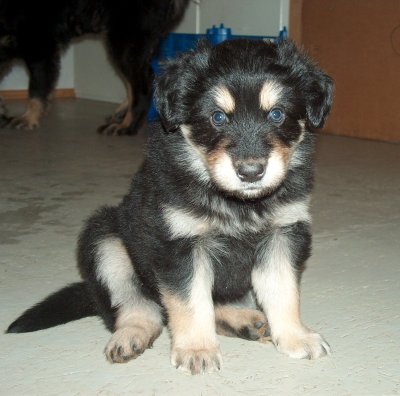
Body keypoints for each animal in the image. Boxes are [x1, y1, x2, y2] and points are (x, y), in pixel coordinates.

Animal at [0, 0, 189, 135]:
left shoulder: (39, 45)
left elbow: (37, 88)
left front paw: (28, 118)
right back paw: (120, 115)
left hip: (124, 39)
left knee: (143, 85)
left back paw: (127, 126)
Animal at [7, 38, 334, 374]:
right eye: (218, 117)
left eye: (277, 114)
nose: (251, 172)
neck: (235, 202)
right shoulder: (178, 244)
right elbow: (191, 301)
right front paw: (196, 350)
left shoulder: (283, 234)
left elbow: (283, 291)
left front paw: (296, 337)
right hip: (103, 238)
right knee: (138, 307)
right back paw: (131, 335)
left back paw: (247, 321)